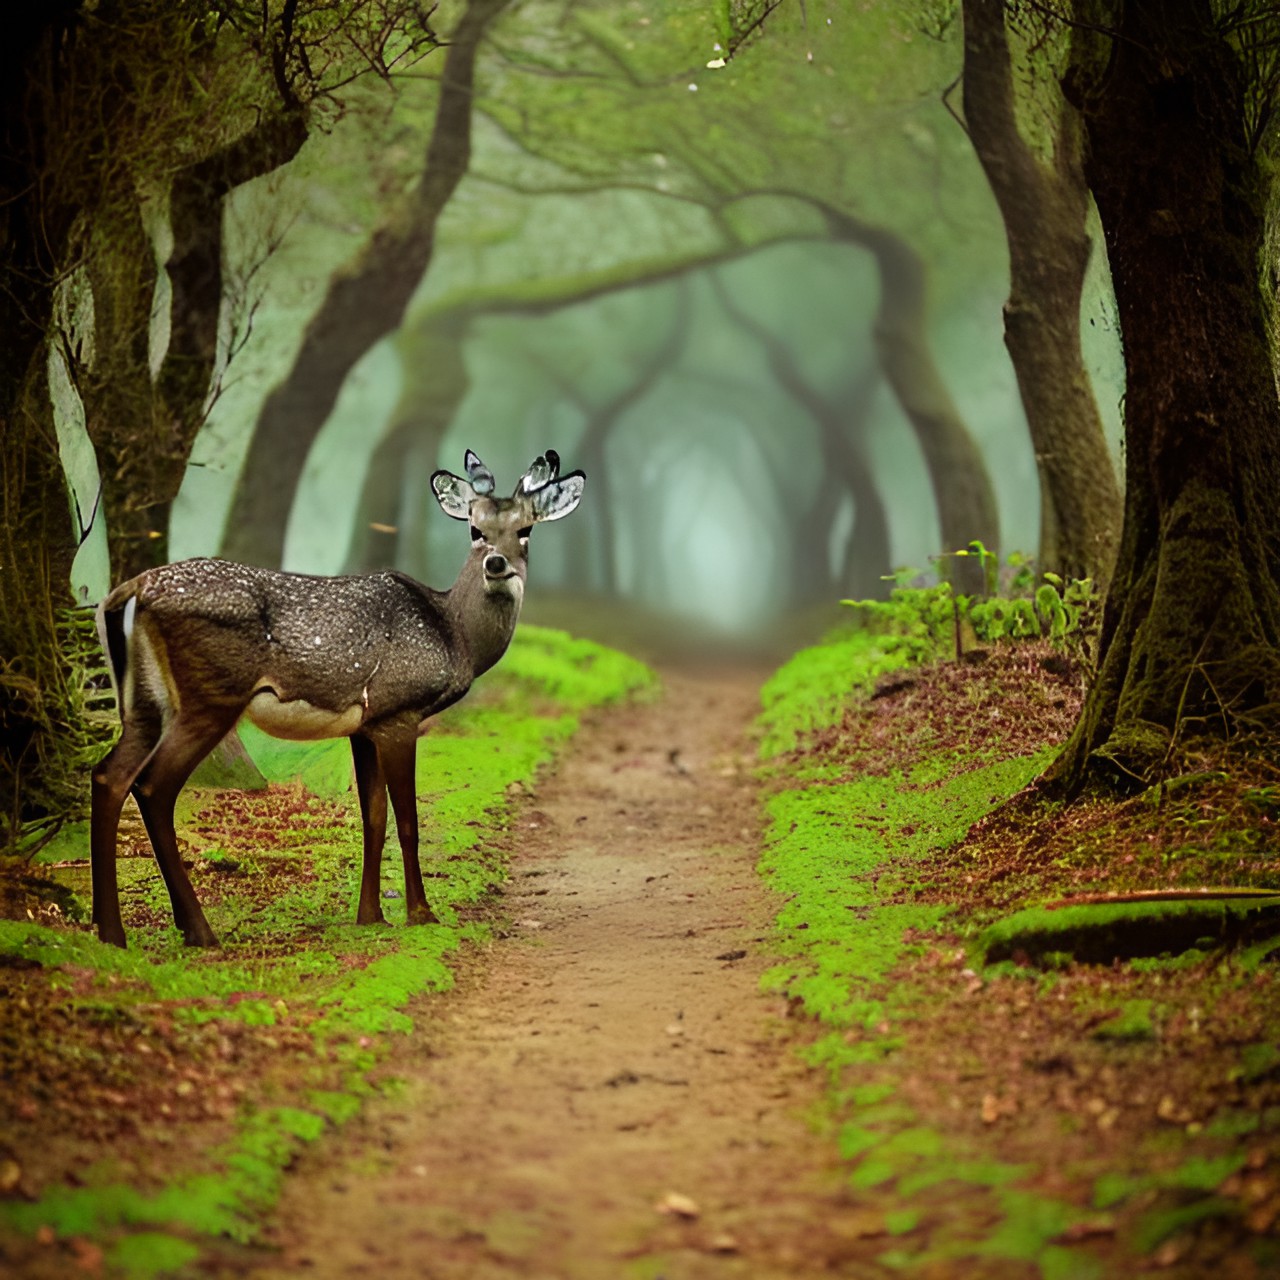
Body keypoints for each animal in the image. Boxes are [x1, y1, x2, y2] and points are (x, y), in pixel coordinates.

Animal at [90, 450, 586, 952]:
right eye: (475, 529)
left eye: (525, 530)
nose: (497, 564)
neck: (455, 638)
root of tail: (128, 592)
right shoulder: (398, 710)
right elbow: (408, 820)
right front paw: (421, 914)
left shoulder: (365, 726)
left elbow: (373, 818)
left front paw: (371, 916)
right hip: (211, 694)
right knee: (153, 786)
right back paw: (197, 930)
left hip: (142, 702)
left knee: (109, 774)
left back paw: (111, 931)